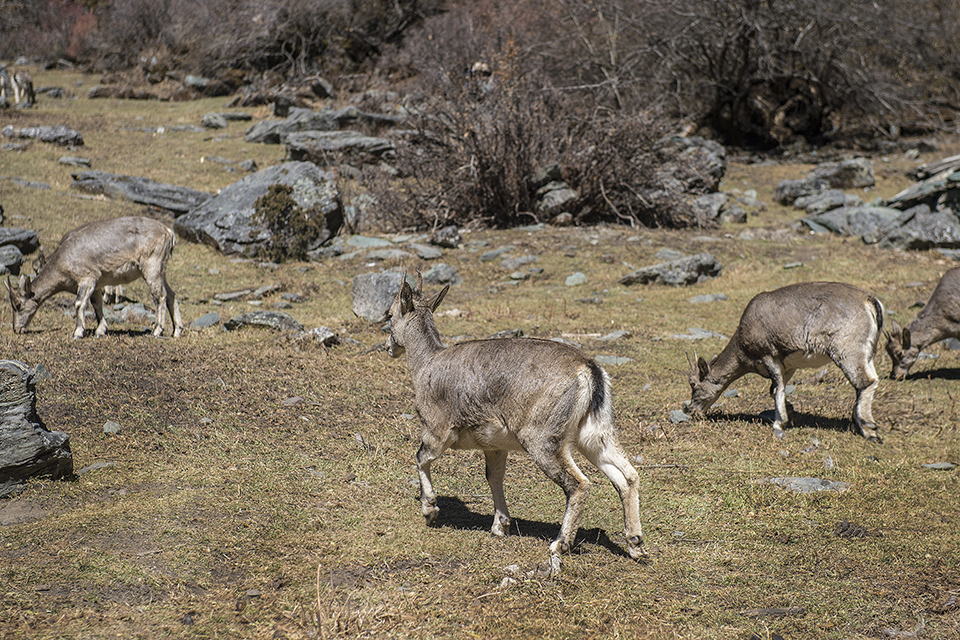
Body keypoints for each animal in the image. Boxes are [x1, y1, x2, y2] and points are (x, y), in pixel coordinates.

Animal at [5, 216, 184, 340]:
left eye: (18, 305)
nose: (16, 329)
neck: (63, 260)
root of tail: (168, 232)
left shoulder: (87, 278)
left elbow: (79, 303)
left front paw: (77, 332)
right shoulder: (97, 284)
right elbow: (97, 305)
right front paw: (100, 330)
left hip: (152, 266)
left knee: (160, 296)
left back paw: (157, 330)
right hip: (161, 270)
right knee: (171, 294)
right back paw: (177, 331)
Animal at [388, 272, 644, 564]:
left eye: (389, 315)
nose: (389, 347)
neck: (426, 365)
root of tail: (589, 371)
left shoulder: (437, 429)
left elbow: (421, 457)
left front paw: (430, 511)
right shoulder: (495, 446)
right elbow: (494, 476)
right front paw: (501, 525)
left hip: (542, 438)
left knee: (579, 484)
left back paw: (560, 544)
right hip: (594, 433)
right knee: (627, 476)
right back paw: (636, 544)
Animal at [684, 282, 884, 442]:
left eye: (693, 384)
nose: (690, 410)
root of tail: (869, 302)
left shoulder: (769, 355)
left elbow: (776, 389)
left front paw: (779, 423)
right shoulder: (787, 366)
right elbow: (777, 388)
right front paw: (791, 416)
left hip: (847, 350)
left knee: (865, 382)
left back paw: (869, 431)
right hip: (867, 353)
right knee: (871, 380)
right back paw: (856, 424)